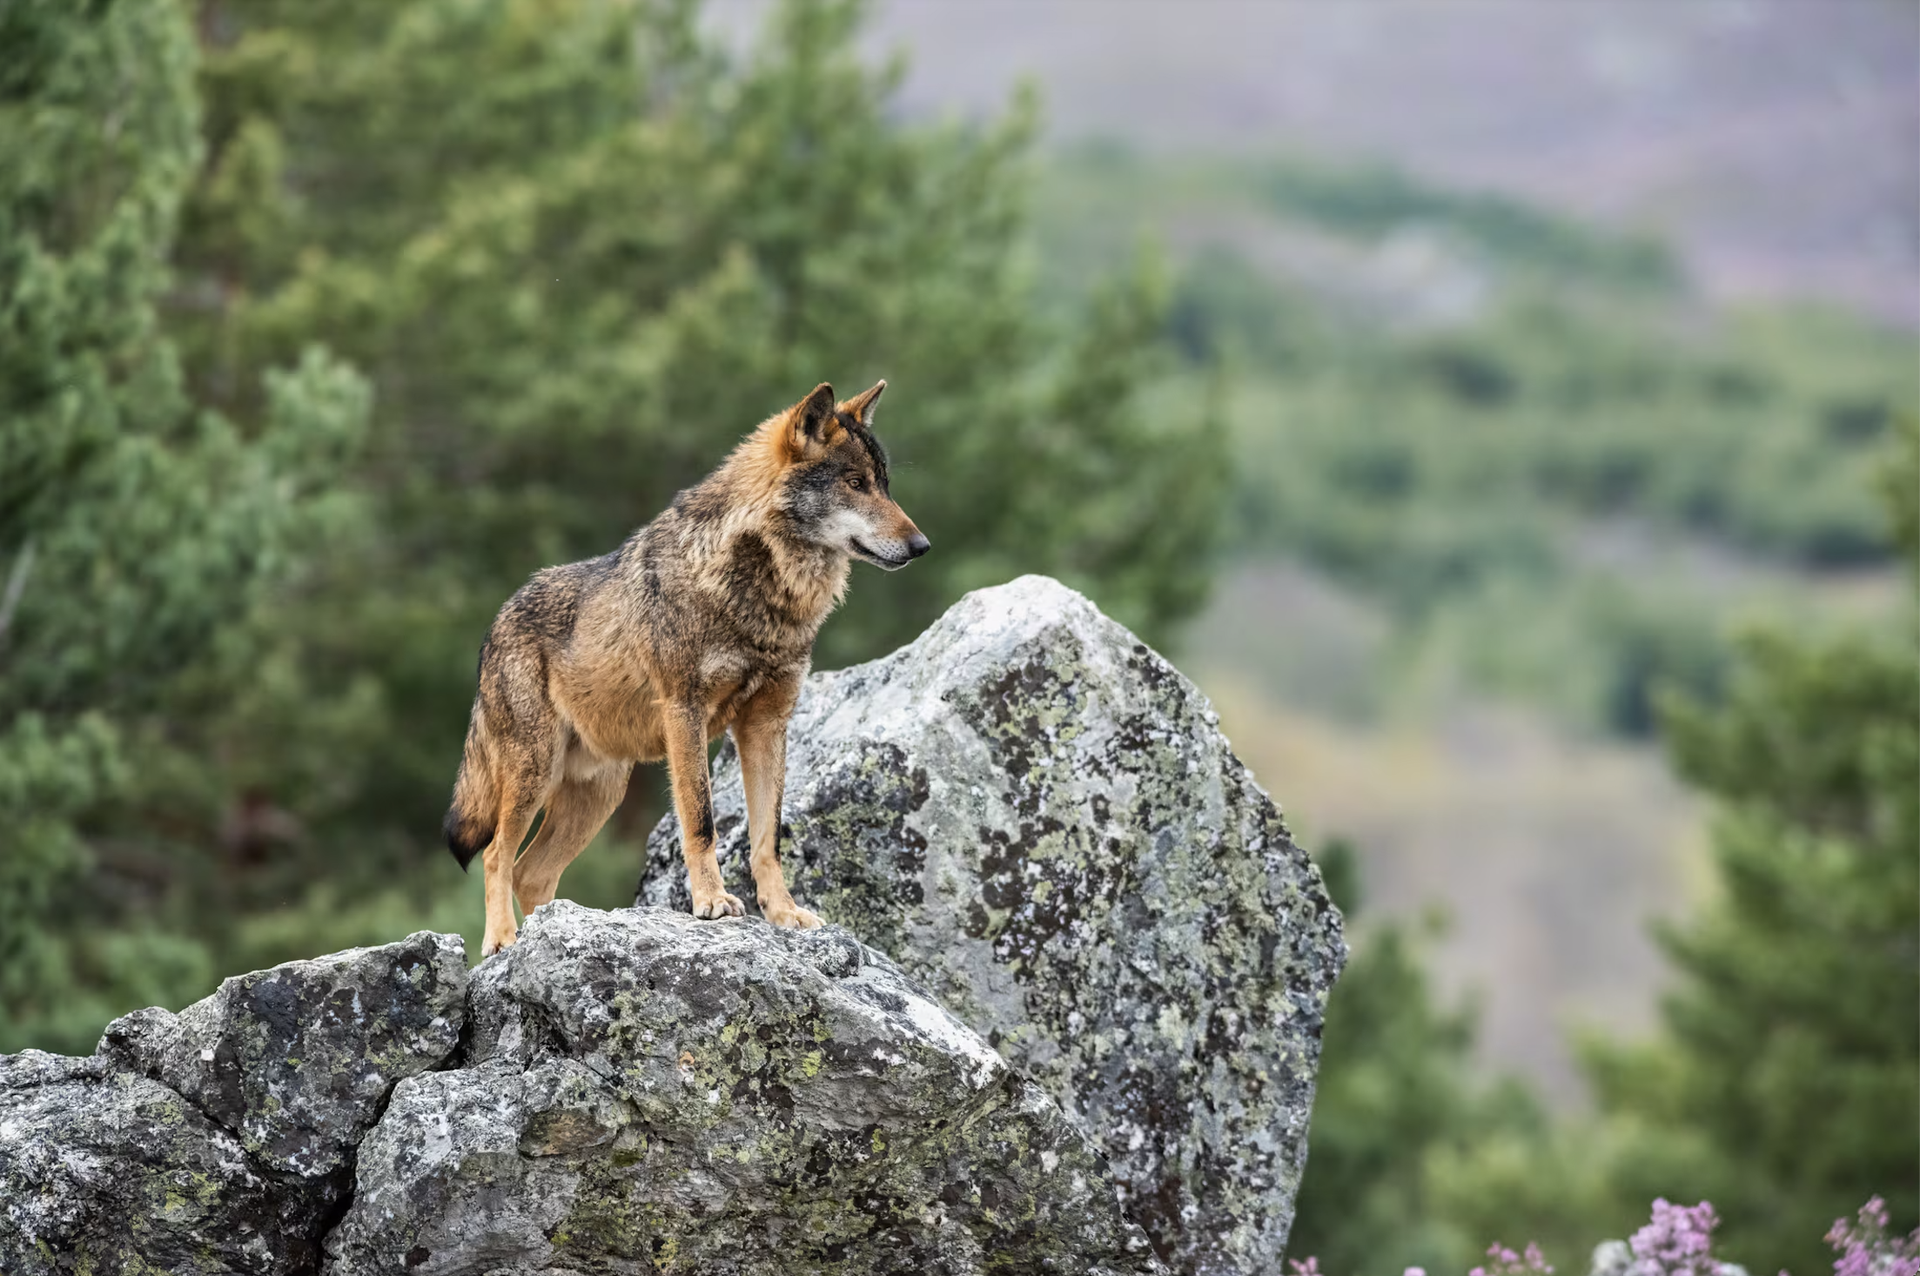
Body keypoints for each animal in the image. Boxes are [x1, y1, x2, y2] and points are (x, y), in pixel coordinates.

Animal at [443, 381, 928, 955]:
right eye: (855, 483)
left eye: (885, 485)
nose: (922, 546)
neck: (762, 594)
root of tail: (495, 623)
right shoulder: (684, 713)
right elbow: (702, 822)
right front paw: (712, 903)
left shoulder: (767, 725)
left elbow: (768, 837)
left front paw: (783, 913)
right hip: (535, 774)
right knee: (498, 854)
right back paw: (503, 941)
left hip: (600, 795)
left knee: (531, 872)